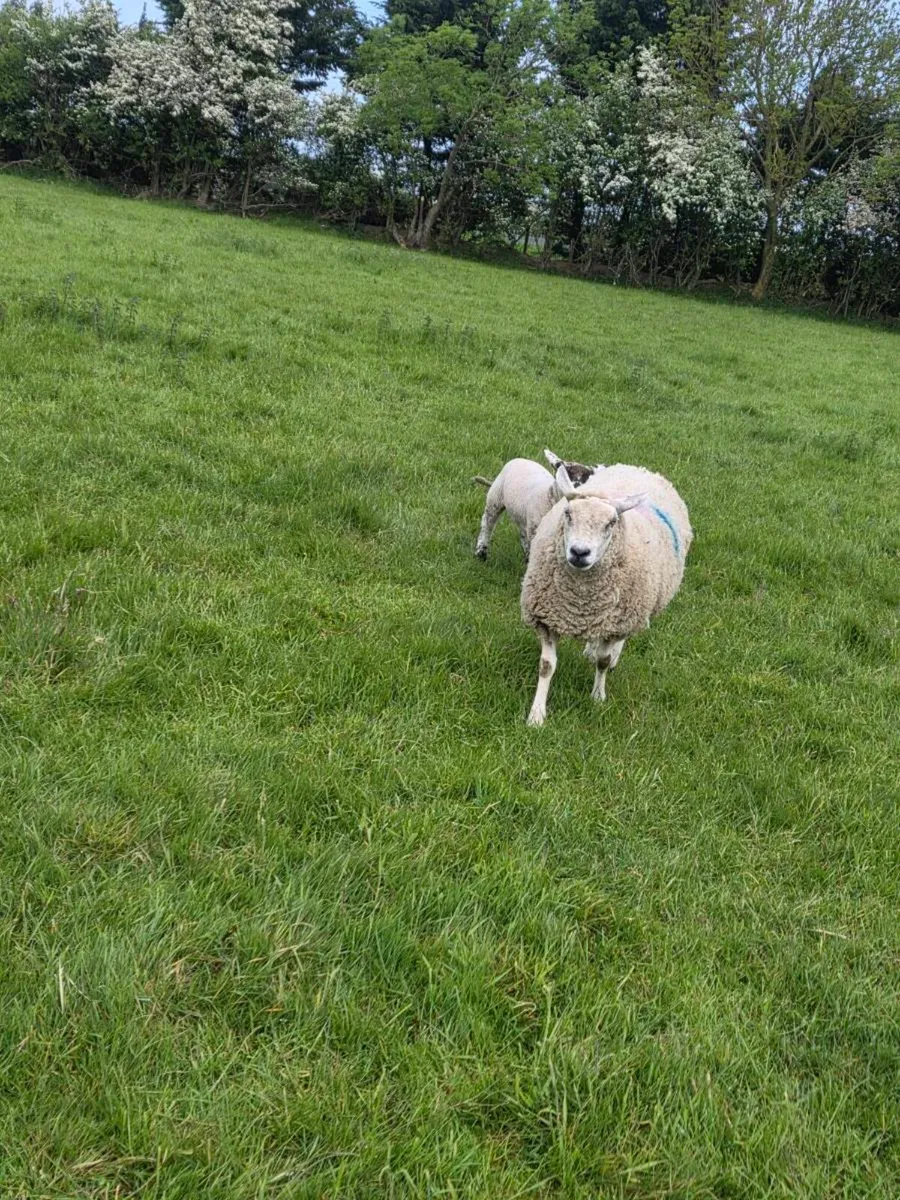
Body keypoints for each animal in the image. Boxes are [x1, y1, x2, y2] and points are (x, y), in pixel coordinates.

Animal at [520, 461, 692, 725]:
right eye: (568, 514)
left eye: (611, 523)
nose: (579, 552)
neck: (579, 598)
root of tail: (637, 468)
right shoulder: (547, 619)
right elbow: (546, 666)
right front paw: (537, 715)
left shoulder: (617, 622)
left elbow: (603, 661)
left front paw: (598, 696)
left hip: (630, 612)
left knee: (615, 645)